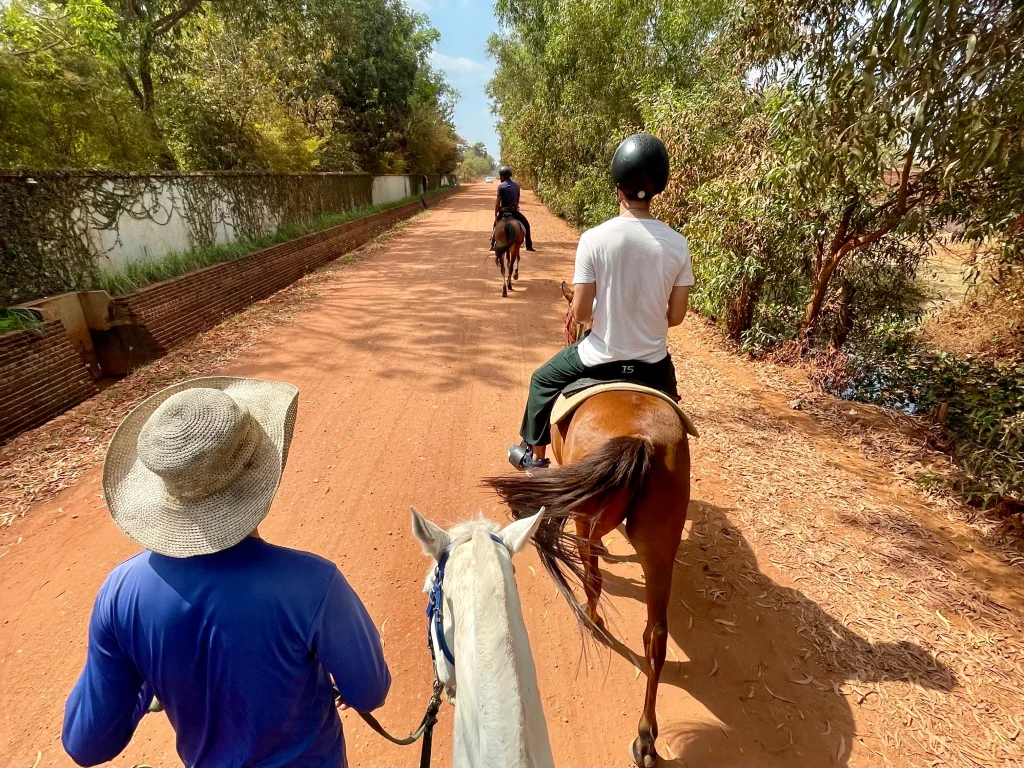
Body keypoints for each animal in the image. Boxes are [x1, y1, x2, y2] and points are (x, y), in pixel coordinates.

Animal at [485, 282, 692, 768]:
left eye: (568, 316)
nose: (568, 328)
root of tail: (641, 439)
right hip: (661, 543)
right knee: (656, 636)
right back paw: (645, 738)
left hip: (585, 521)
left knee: (593, 578)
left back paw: (593, 619)